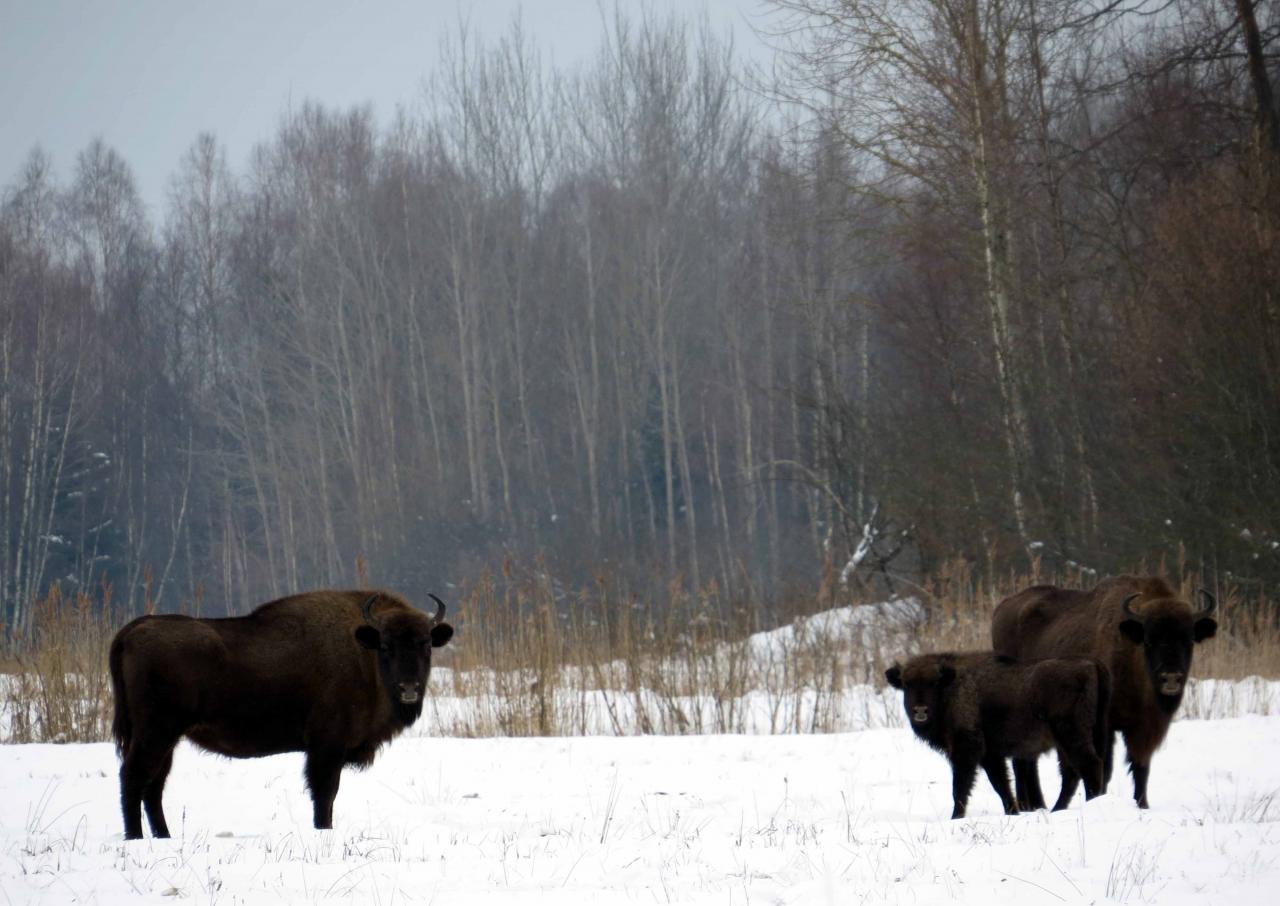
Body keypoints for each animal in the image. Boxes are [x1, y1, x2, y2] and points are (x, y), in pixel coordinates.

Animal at [107, 591, 455, 839]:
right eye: (385, 646)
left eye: (426, 644)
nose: (408, 688)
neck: (362, 651)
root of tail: (132, 630)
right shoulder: (327, 748)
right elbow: (325, 794)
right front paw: (324, 830)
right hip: (156, 732)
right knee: (134, 777)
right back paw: (135, 838)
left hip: (167, 738)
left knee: (154, 785)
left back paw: (163, 837)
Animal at [880, 647, 1111, 818]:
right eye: (907, 684)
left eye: (934, 683)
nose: (920, 710)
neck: (951, 686)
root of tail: (1092, 664)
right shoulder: (990, 755)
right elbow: (1001, 784)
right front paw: (1012, 812)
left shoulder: (967, 750)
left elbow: (960, 787)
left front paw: (955, 817)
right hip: (1073, 740)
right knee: (1072, 773)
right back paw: (1058, 809)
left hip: (1070, 735)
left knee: (1089, 766)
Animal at [988, 575, 1218, 808]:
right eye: (1148, 641)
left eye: (1189, 641)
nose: (1170, 678)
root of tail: (1002, 608)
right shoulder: (1106, 726)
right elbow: (1106, 769)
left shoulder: (1143, 729)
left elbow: (1141, 768)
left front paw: (1142, 805)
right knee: (1024, 761)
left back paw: (1037, 805)